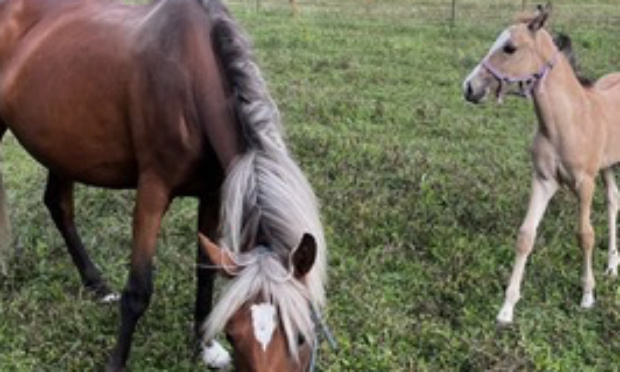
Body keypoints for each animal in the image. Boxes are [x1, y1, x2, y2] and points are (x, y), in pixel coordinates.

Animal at [0, 0, 326, 370]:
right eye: (234, 335)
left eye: (301, 337)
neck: (191, 77)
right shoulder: (153, 192)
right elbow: (138, 289)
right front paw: (116, 362)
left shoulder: (213, 194)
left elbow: (206, 271)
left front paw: (204, 345)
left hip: (61, 146)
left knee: (58, 205)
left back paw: (96, 284)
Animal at [460, 5, 620, 326]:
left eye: (510, 47)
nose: (469, 87)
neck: (569, 121)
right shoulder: (544, 180)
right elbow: (525, 236)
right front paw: (506, 308)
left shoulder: (585, 183)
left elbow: (585, 235)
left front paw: (587, 295)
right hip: (608, 166)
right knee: (613, 201)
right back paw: (612, 266)